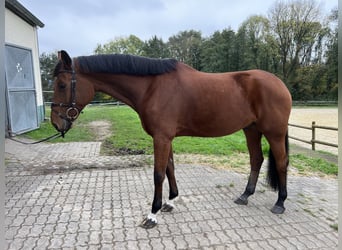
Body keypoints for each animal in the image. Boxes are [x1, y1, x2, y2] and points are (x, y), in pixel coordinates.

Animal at [50, 50, 292, 229]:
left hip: (275, 133)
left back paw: (280, 203)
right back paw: (245, 195)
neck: (152, 87)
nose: (56, 123)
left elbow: (158, 174)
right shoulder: (166, 138)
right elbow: (170, 168)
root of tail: (280, 84)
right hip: (251, 130)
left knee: (281, 163)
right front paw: (171, 201)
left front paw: (152, 214)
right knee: (256, 160)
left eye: (62, 84)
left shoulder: (162, 138)